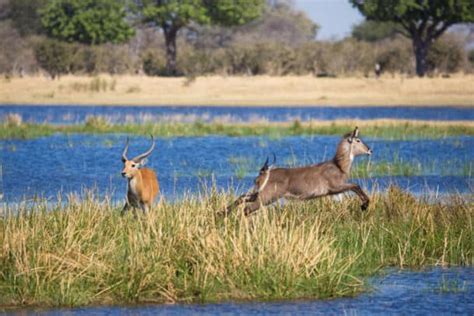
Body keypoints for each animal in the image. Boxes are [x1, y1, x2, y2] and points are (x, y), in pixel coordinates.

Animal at [227, 127, 374, 216]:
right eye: (358, 140)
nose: (370, 150)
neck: (339, 166)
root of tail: (265, 172)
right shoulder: (335, 187)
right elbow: (355, 185)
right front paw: (364, 205)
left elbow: (355, 187)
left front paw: (364, 205)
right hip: (267, 196)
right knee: (247, 209)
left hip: (259, 193)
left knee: (242, 198)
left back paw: (224, 213)